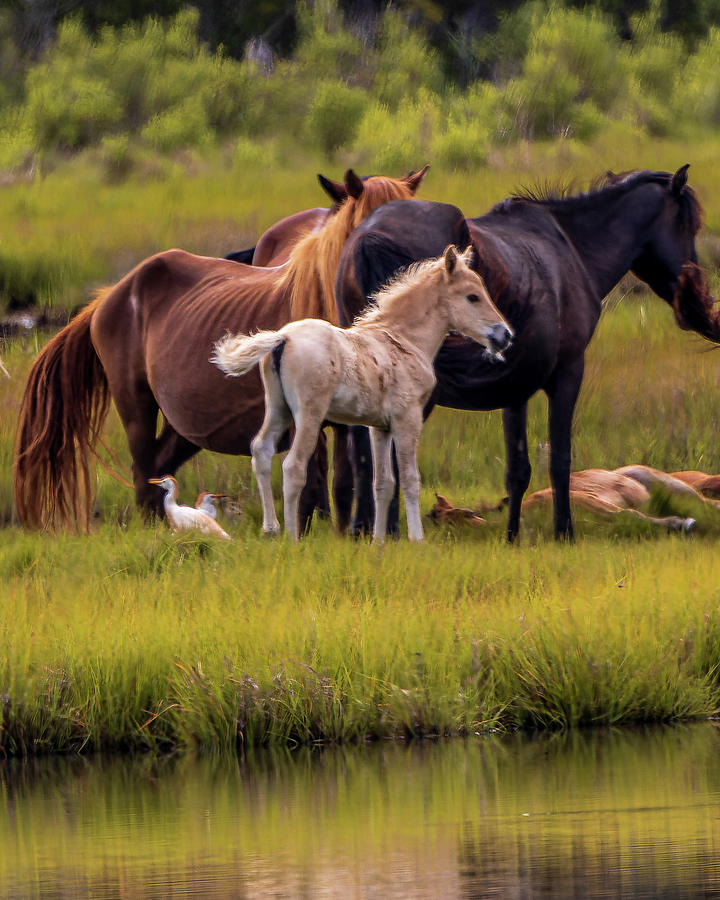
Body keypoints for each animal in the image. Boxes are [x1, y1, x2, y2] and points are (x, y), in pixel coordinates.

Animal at [14, 167, 428, 528]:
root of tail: (109, 295)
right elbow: (309, 480)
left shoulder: (345, 419)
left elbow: (344, 483)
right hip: (135, 405)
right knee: (143, 469)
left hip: (186, 422)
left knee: (159, 467)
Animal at [212, 244, 512, 540]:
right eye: (472, 297)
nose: (505, 335)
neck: (403, 340)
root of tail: (283, 337)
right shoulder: (408, 419)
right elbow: (410, 479)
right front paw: (417, 539)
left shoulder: (380, 427)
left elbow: (383, 483)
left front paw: (378, 542)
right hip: (309, 414)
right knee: (293, 467)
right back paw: (292, 537)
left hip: (278, 408)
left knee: (261, 450)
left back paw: (271, 529)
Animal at [334, 169, 704, 540]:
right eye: (691, 225)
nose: (696, 304)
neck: (571, 248)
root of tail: (370, 236)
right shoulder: (568, 372)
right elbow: (560, 459)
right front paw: (564, 533)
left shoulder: (515, 389)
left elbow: (518, 468)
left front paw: (512, 537)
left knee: (364, 458)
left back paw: (363, 529)